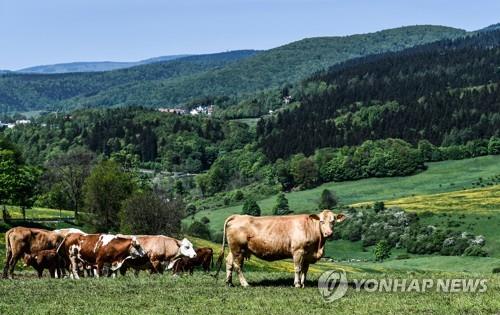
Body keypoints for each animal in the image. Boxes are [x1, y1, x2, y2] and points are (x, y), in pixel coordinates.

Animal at [217, 211, 346, 288]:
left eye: (333, 221)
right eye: (321, 221)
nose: (328, 233)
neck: (318, 246)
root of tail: (238, 216)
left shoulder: (308, 255)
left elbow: (305, 270)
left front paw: (303, 284)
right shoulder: (298, 251)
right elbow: (298, 269)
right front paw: (297, 284)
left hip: (234, 250)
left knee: (229, 262)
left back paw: (229, 282)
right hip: (238, 249)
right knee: (238, 266)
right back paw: (245, 283)